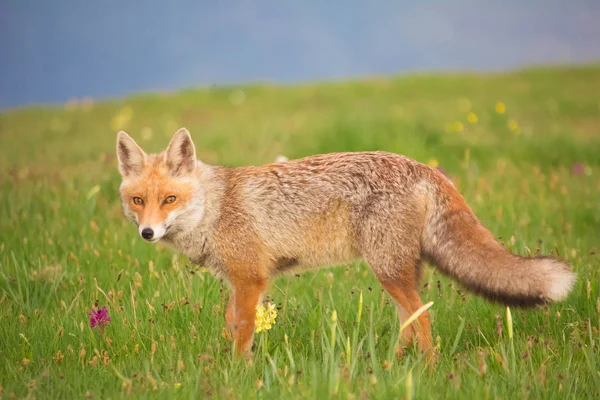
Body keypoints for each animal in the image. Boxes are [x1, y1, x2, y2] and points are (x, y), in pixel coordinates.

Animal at [116, 127, 576, 356]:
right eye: (138, 201)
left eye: (169, 200)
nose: (147, 233)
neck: (213, 208)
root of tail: (425, 167)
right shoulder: (238, 282)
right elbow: (233, 327)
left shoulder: (250, 279)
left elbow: (243, 335)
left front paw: (238, 375)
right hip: (398, 273)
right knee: (409, 323)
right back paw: (390, 368)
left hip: (387, 271)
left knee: (423, 320)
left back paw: (424, 371)